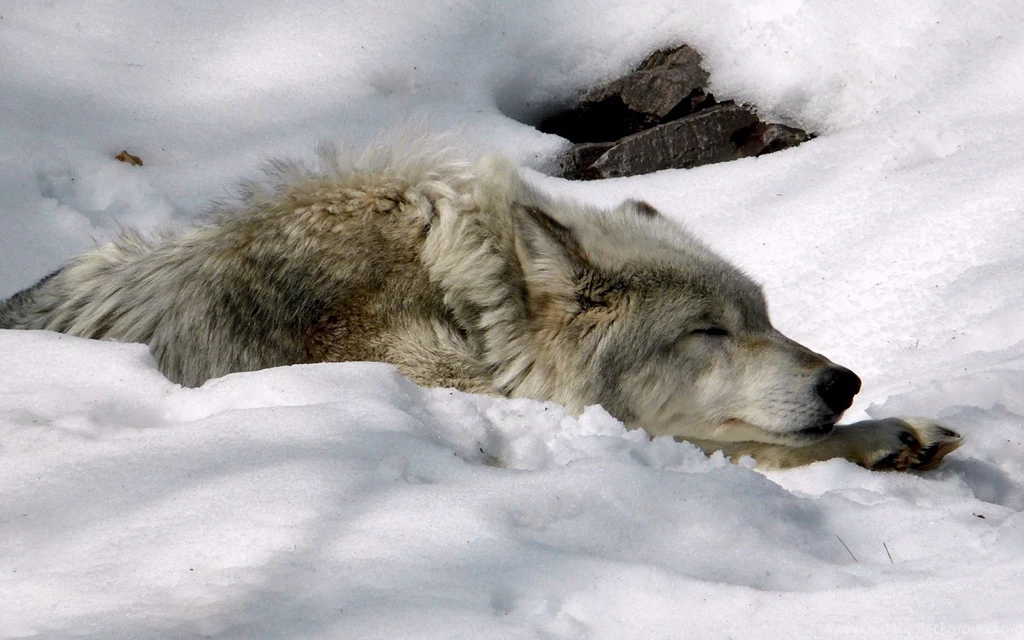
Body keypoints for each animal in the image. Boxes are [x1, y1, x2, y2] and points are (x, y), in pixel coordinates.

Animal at [0, 135, 962, 470]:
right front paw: (881, 436)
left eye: (765, 320)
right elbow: (735, 443)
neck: (471, 309)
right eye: (707, 332)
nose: (844, 381)